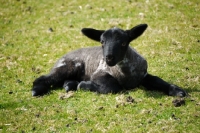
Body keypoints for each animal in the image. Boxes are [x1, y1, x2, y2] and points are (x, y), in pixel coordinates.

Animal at [31, 23, 188, 96]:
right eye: (102, 42)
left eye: (124, 43)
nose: (108, 58)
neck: (126, 74)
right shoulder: (99, 73)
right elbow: (113, 86)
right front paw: (85, 85)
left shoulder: (143, 75)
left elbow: (157, 80)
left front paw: (177, 91)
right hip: (68, 66)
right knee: (45, 77)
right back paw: (36, 90)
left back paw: (69, 85)